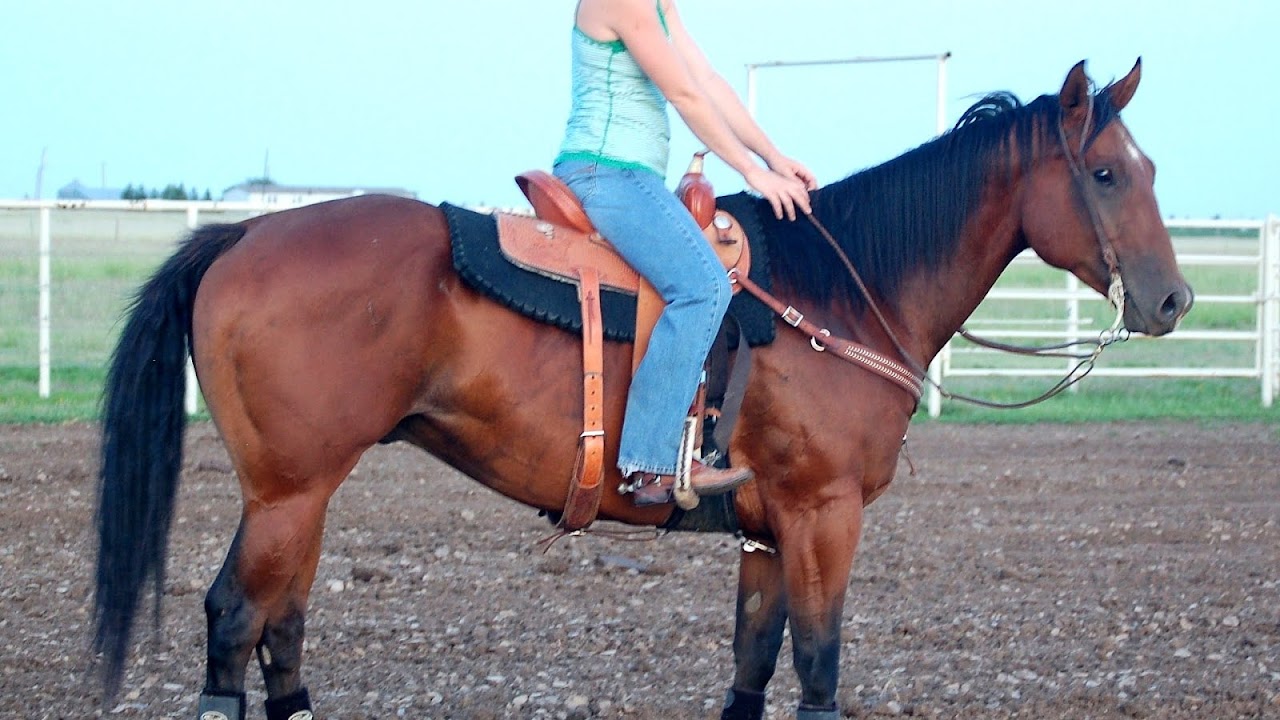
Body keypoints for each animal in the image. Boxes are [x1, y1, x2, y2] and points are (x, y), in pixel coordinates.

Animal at [94, 59, 1191, 720]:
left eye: (1144, 168)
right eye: (1102, 172)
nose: (1170, 298)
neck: (840, 290)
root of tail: (243, 234)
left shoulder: (765, 532)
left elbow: (752, 668)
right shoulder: (823, 516)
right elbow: (819, 669)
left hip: (305, 494)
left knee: (280, 628)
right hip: (287, 491)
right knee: (234, 620)